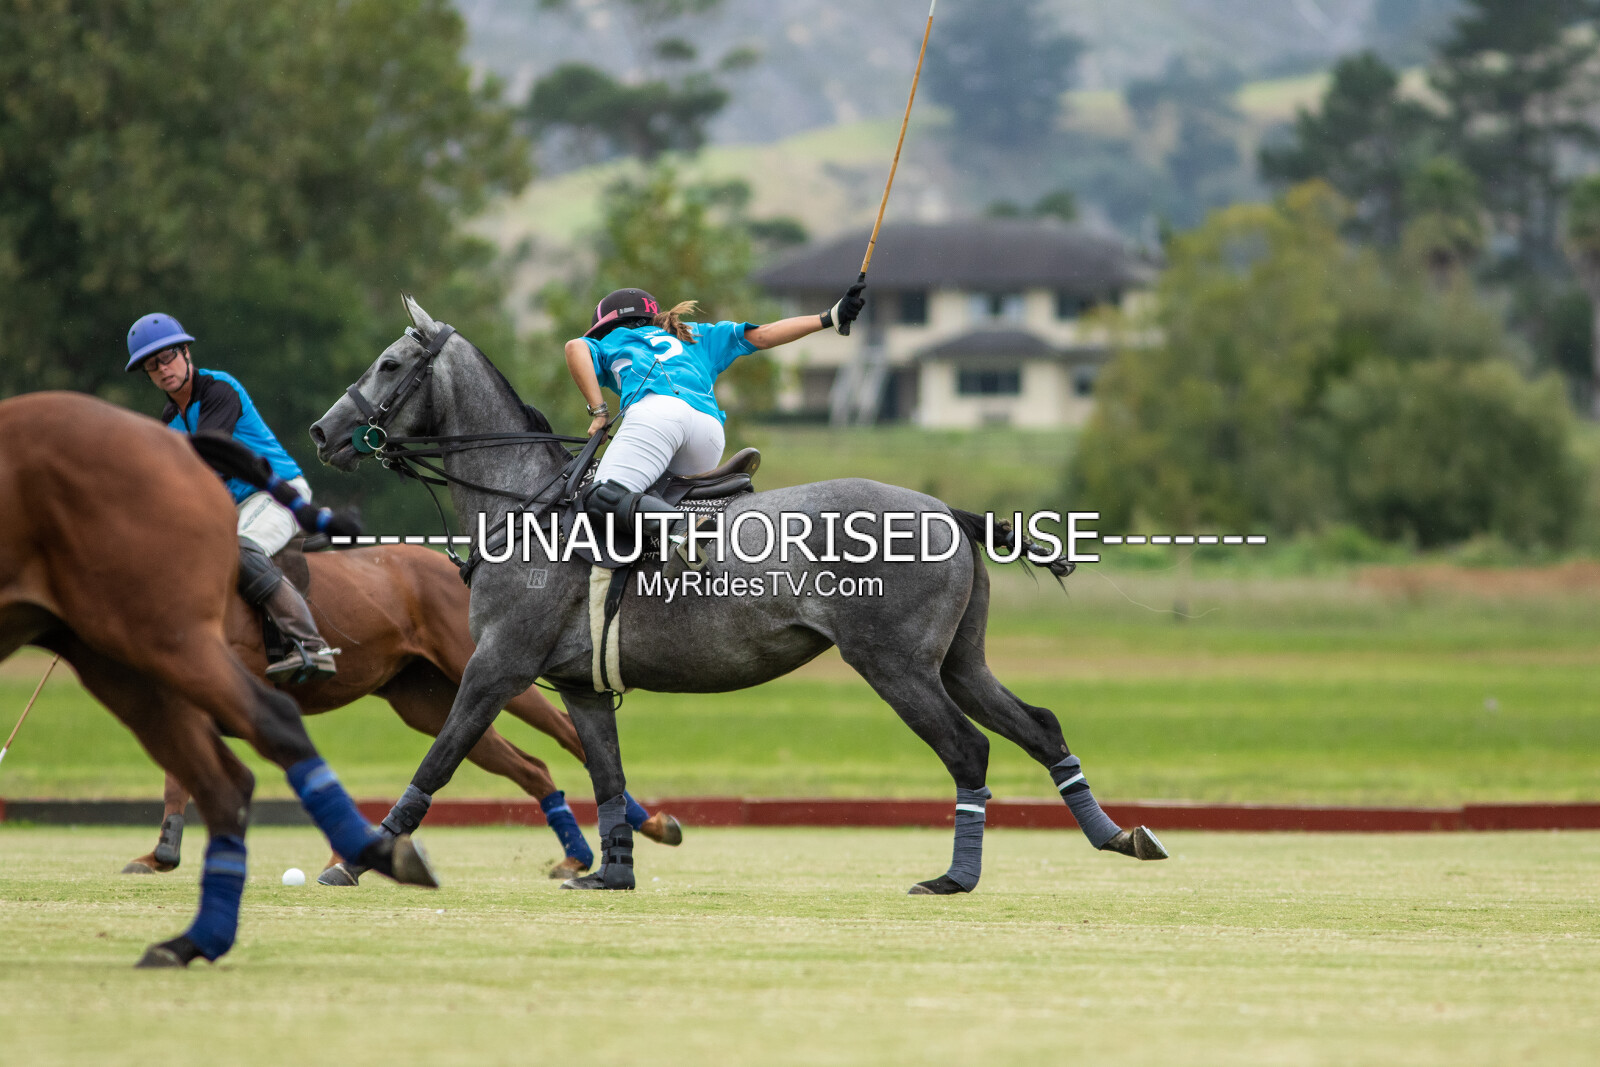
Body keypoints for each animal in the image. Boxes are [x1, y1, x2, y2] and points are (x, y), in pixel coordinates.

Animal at [122, 543, 682, 882]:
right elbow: (180, 772)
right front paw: (159, 854)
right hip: (427, 702)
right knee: (529, 764)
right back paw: (581, 852)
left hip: (497, 667)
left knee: (568, 734)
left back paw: (648, 826)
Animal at [309, 297, 1168, 895]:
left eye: (391, 364)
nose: (321, 433)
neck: (528, 501)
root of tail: (947, 510)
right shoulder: (581, 685)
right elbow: (608, 778)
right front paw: (612, 872)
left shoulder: (497, 663)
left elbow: (442, 756)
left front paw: (358, 862)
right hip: (959, 658)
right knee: (1039, 724)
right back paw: (1118, 836)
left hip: (894, 663)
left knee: (968, 748)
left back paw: (956, 876)